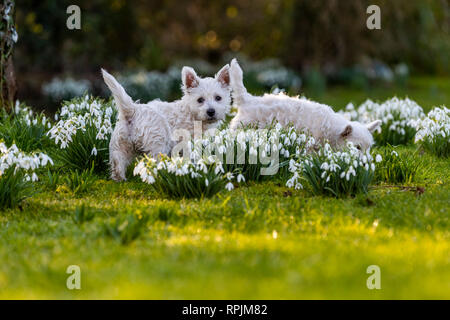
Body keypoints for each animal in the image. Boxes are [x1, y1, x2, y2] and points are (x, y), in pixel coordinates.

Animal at [100, 65, 230, 180]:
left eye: (218, 98)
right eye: (200, 100)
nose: (211, 111)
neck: (191, 113)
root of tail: (133, 111)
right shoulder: (189, 142)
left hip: (120, 145)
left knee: (118, 163)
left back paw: (119, 178)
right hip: (158, 143)